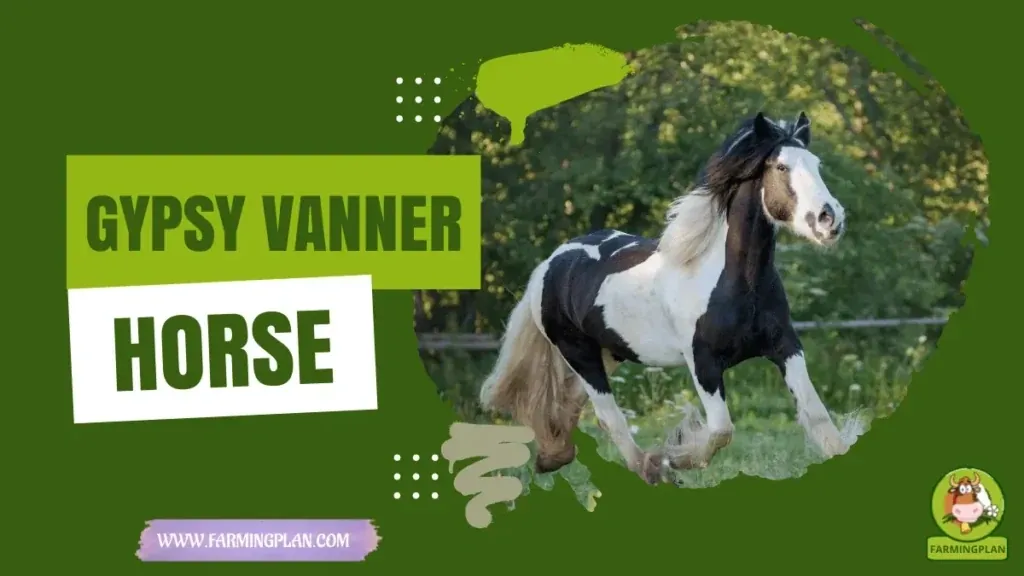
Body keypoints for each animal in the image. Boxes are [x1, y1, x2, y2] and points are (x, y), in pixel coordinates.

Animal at [479, 111, 851, 484]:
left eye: (816, 164)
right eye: (780, 167)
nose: (830, 219)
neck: (735, 282)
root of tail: (549, 265)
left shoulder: (786, 346)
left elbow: (818, 418)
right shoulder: (702, 362)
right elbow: (721, 430)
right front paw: (675, 456)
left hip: (611, 352)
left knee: (571, 403)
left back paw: (556, 457)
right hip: (579, 354)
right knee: (609, 417)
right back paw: (650, 468)